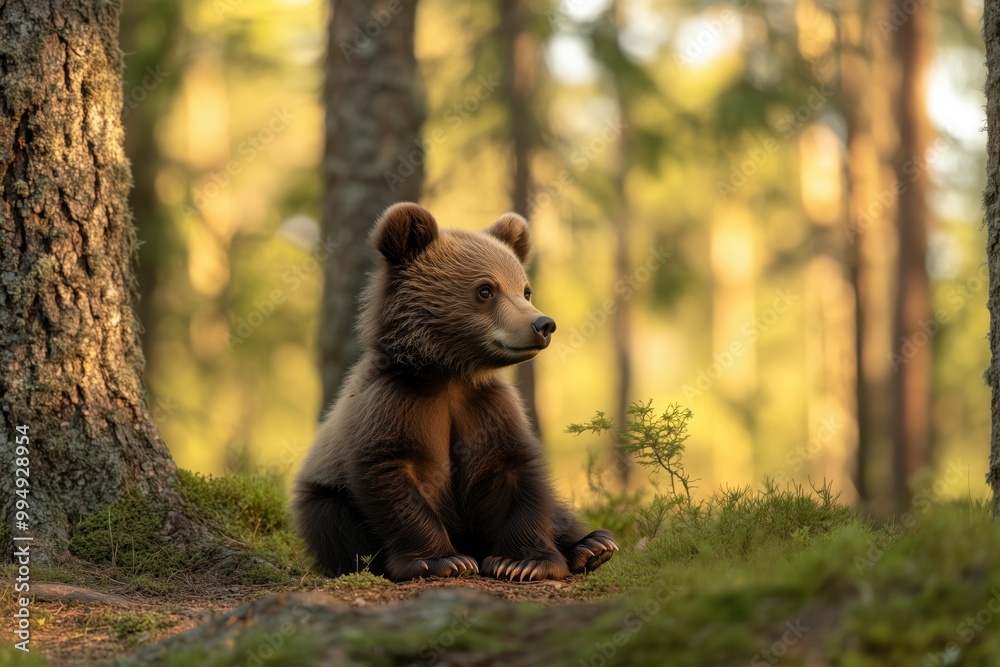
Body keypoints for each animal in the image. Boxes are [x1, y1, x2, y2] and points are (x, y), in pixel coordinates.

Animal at [292, 202, 618, 582]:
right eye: (485, 289)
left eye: (525, 290)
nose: (543, 325)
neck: (449, 374)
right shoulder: (394, 403)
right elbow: (394, 476)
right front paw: (443, 560)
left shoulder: (488, 406)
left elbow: (514, 472)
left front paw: (523, 562)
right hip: (325, 499)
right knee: (334, 524)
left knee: (558, 509)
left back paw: (592, 545)